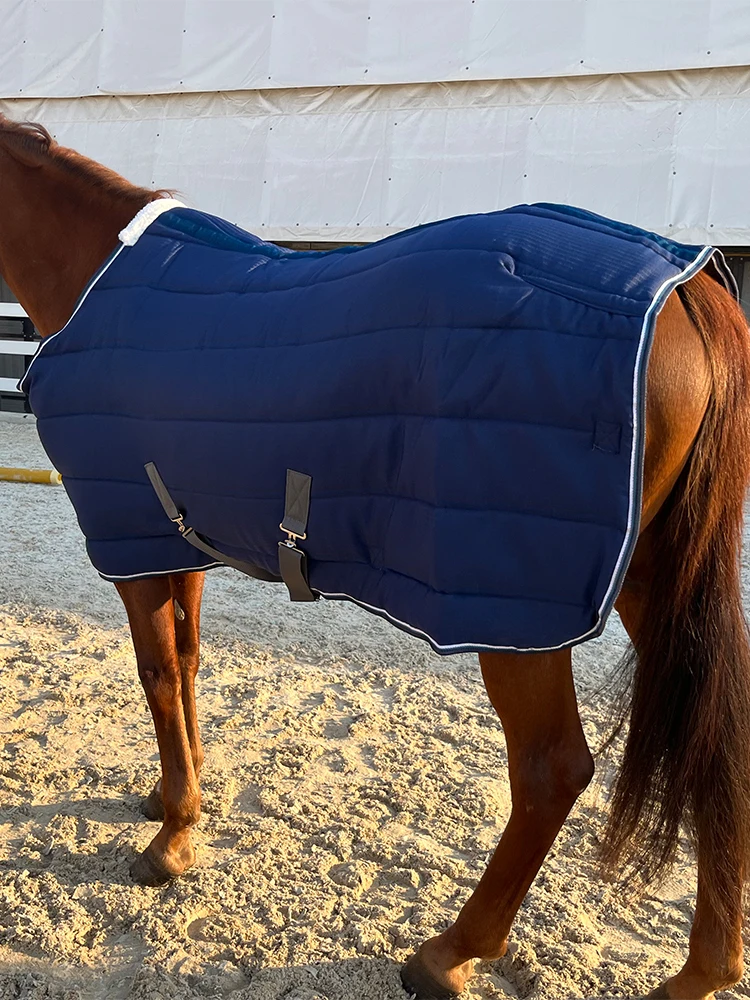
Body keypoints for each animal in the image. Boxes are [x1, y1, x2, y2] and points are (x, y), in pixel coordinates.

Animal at [1, 114, 750, 1000]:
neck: (98, 277)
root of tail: (683, 287)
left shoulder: (130, 544)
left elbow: (154, 677)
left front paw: (173, 840)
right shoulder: (174, 536)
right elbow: (184, 668)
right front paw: (170, 797)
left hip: (513, 616)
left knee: (552, 771)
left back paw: (449, 952)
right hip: (651, 582)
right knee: (718, 749)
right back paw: (704, 967)